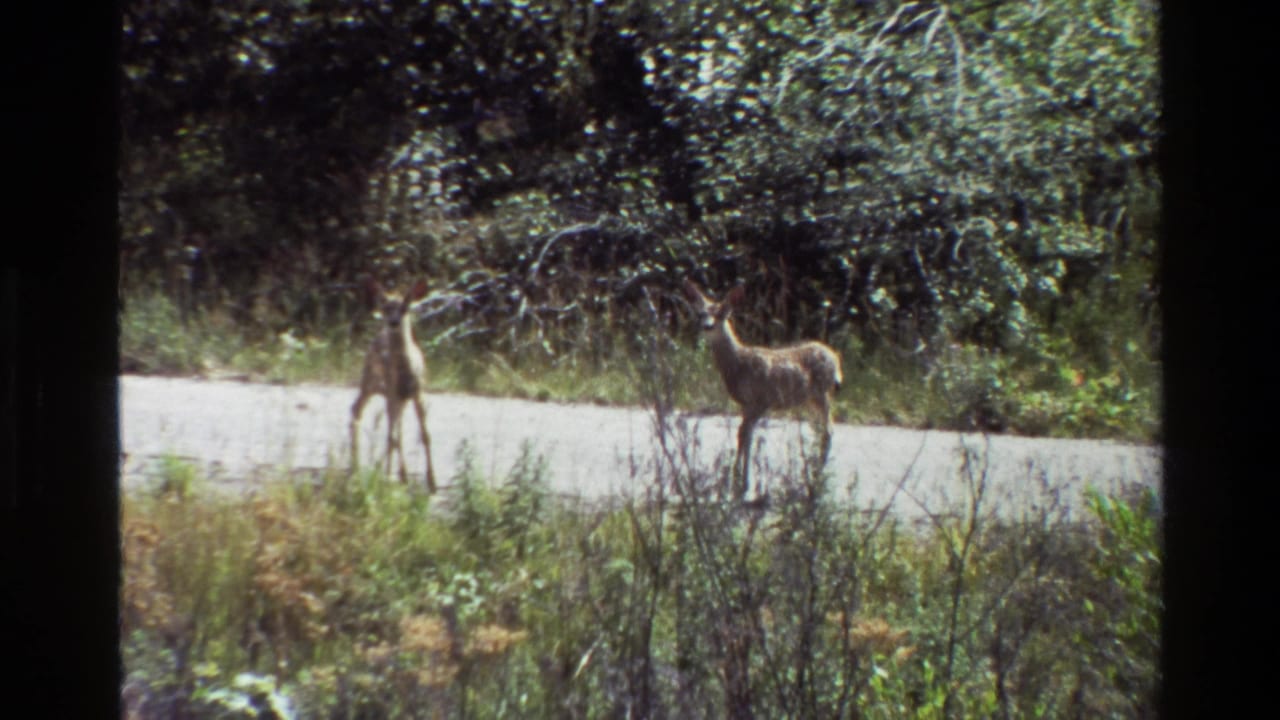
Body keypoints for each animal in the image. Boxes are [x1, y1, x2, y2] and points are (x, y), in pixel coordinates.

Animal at [350, 278, 438, 492]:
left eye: (405, 307)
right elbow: (392, 437)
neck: (406, 371)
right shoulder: (392, 392)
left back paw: (401, 475)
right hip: (371, 380)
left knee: (396, 428)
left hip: (396, 396)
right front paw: (388, 478)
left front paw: (432, 482)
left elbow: (425, 434)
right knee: (357, 409)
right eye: (385, 307)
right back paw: (355, 467)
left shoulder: (418, 392)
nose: (394, 322)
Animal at [683, 279, 843, 498]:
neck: (737, 363)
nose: (708, 326)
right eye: (700, 313)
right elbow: (743, 435)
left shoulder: (762, 400)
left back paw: (816, 479)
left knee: (829, 430)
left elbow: (747, 435)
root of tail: (835, 360)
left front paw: (743, 482)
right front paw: (737, 478)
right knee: (825, 429)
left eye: (722, 313)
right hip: (812, 397)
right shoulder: (746, 404)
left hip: (820, 392)